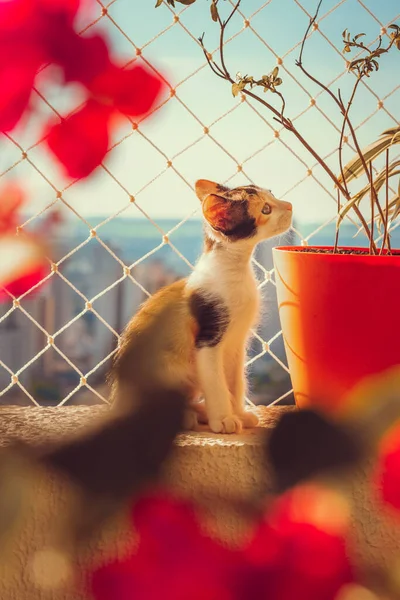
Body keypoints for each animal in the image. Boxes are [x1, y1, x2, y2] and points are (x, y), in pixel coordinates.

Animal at [111, 180, 292, 434]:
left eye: (272, 194)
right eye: (266, 209)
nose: (290, 206)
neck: (235, 271)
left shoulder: (237, 343)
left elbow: (235, 382)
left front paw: (239, 413)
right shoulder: (208, 338)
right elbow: (217, 384)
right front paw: (224, 419)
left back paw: (199, 412)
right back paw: (187, 417)